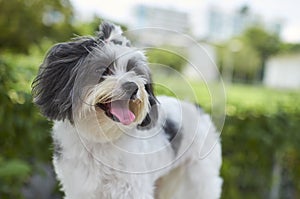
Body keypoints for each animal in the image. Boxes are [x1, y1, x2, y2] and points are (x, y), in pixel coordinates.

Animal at [31, 22, 221, 199]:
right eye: (103, 70)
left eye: (133, 71)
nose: (132, 86)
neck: (100, 139)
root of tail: (197, 108)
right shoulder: (80, 188)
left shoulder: (132, 188)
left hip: (199, 179)